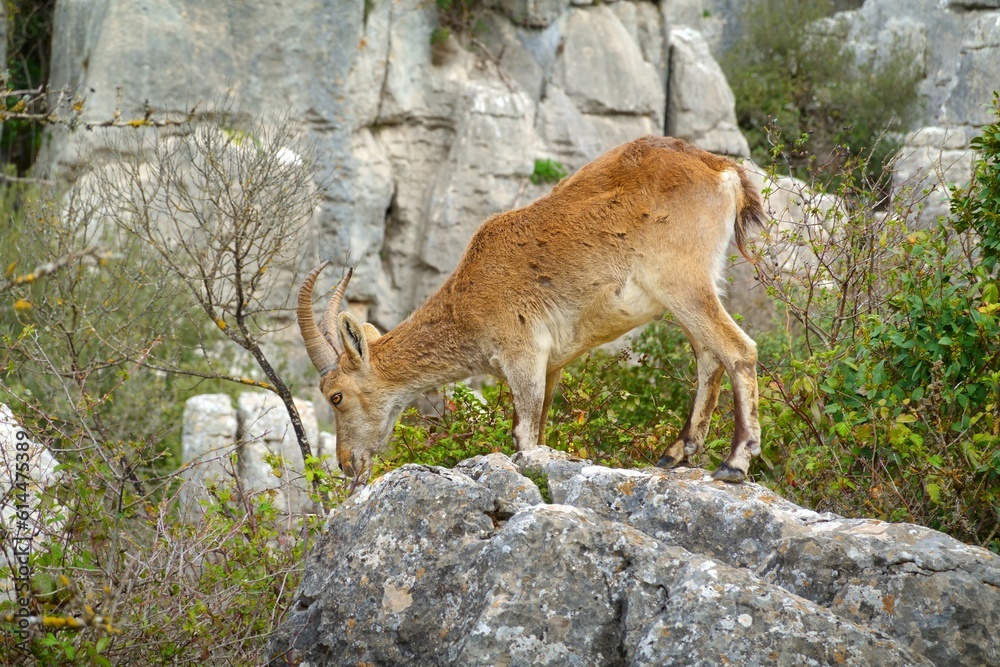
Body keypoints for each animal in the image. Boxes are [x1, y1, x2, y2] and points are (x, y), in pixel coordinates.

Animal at [298, 136, 766, 489]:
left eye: (336, 396)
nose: (347, 464)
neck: (467, 299)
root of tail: (721, 171)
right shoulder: (552, 365)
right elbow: (538, 432)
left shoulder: (521, 352)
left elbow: (523, 435)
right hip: (698, 285)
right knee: (709, 358)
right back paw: (676, 454)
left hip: (681, 281)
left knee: (738, 349)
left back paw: (734, 464)